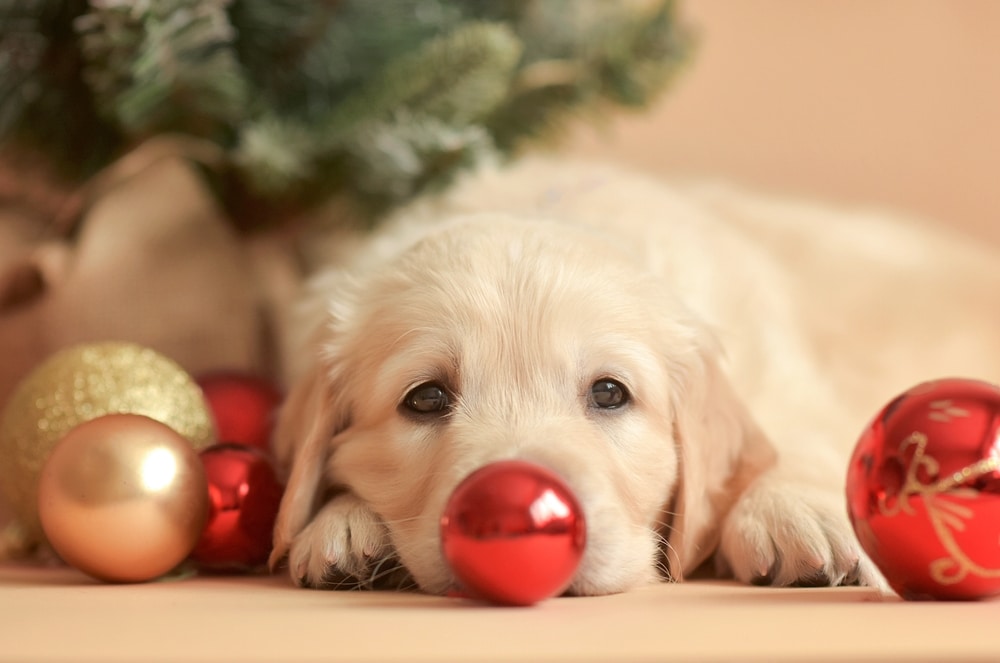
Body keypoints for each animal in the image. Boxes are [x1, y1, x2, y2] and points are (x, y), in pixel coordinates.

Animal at [270, 160, 1000, 596]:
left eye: (609, 393)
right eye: (425, 398)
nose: (512, 510)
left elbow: (791, 437)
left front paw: (797, 510)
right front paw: (344, 523)